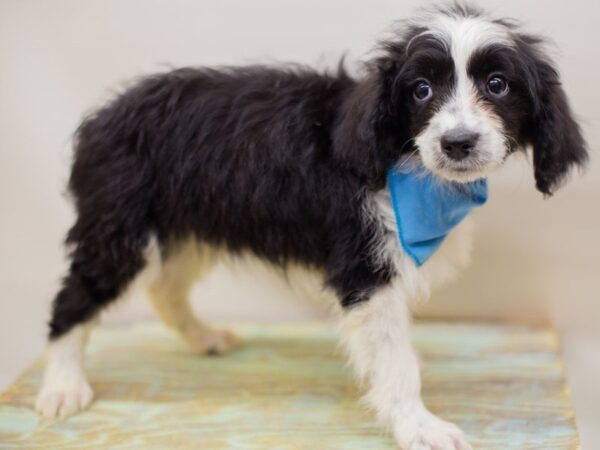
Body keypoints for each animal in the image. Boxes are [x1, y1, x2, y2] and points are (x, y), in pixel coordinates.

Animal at [34, 4, 584, 450]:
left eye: (498, 85)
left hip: (188, 227)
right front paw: (418, 425)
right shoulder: (366, 271)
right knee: (72, 301)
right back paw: (62, 386)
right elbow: (394, 361)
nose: (458, 143)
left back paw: (201, 337)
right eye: (421, 90)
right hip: (120, 229)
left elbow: (392, 349)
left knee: (165, 288)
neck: (401, 159)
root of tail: (104, 116)